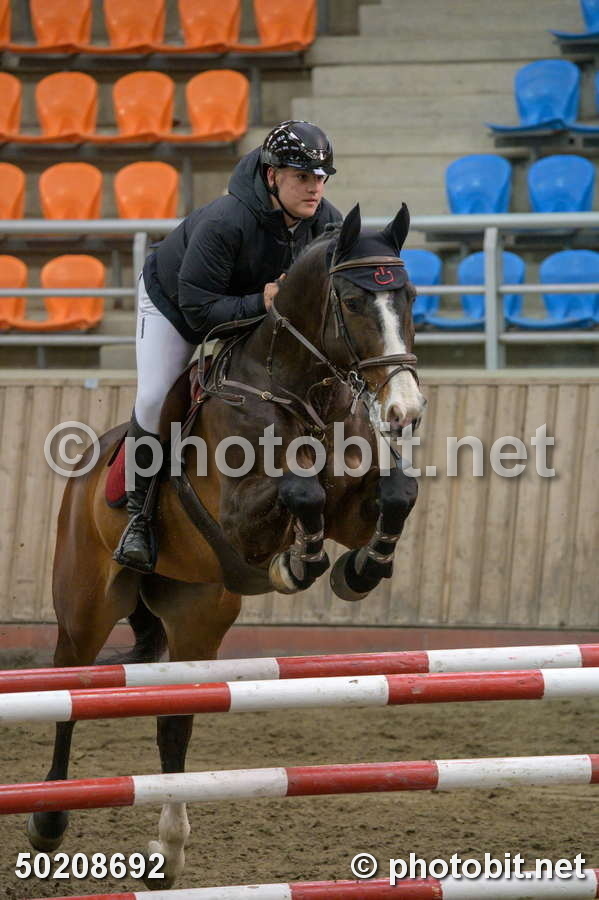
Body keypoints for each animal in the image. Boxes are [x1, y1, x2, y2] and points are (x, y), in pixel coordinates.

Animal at [28, 203, 426, 887]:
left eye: (409, 296)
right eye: (352, 301)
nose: (405, 410)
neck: (299, 389)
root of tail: (84, 472)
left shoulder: (355, 503)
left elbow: (396, 492)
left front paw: (358, 569)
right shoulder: (242, 513)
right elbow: (300, 491)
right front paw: (299, 561)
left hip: (196, 614)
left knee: (175, 723)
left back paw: (167, 851)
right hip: (84, 609)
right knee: (68, 693)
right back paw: (48, 822)